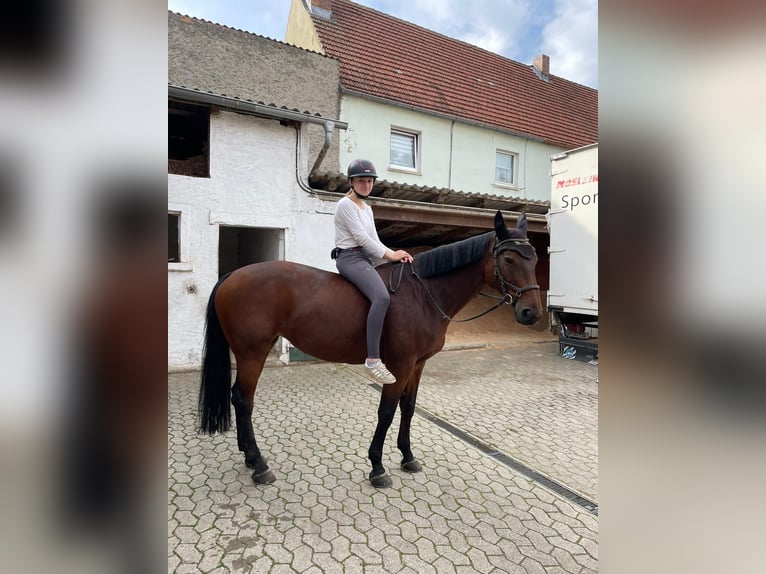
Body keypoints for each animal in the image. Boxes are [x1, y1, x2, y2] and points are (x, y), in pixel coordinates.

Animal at [200, 212, 544, 490]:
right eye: (509, 260)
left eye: (535, 260)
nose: (531, 313)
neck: (422, 294)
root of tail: (233, 275)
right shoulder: (400, 366)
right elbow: (387, 411)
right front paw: (377, 467)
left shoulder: (417, 365)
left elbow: (408, 407)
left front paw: (407, 457)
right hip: (252, 353)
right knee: (244, 400)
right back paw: (259, 465)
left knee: (239, 398)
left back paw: (249, 458)